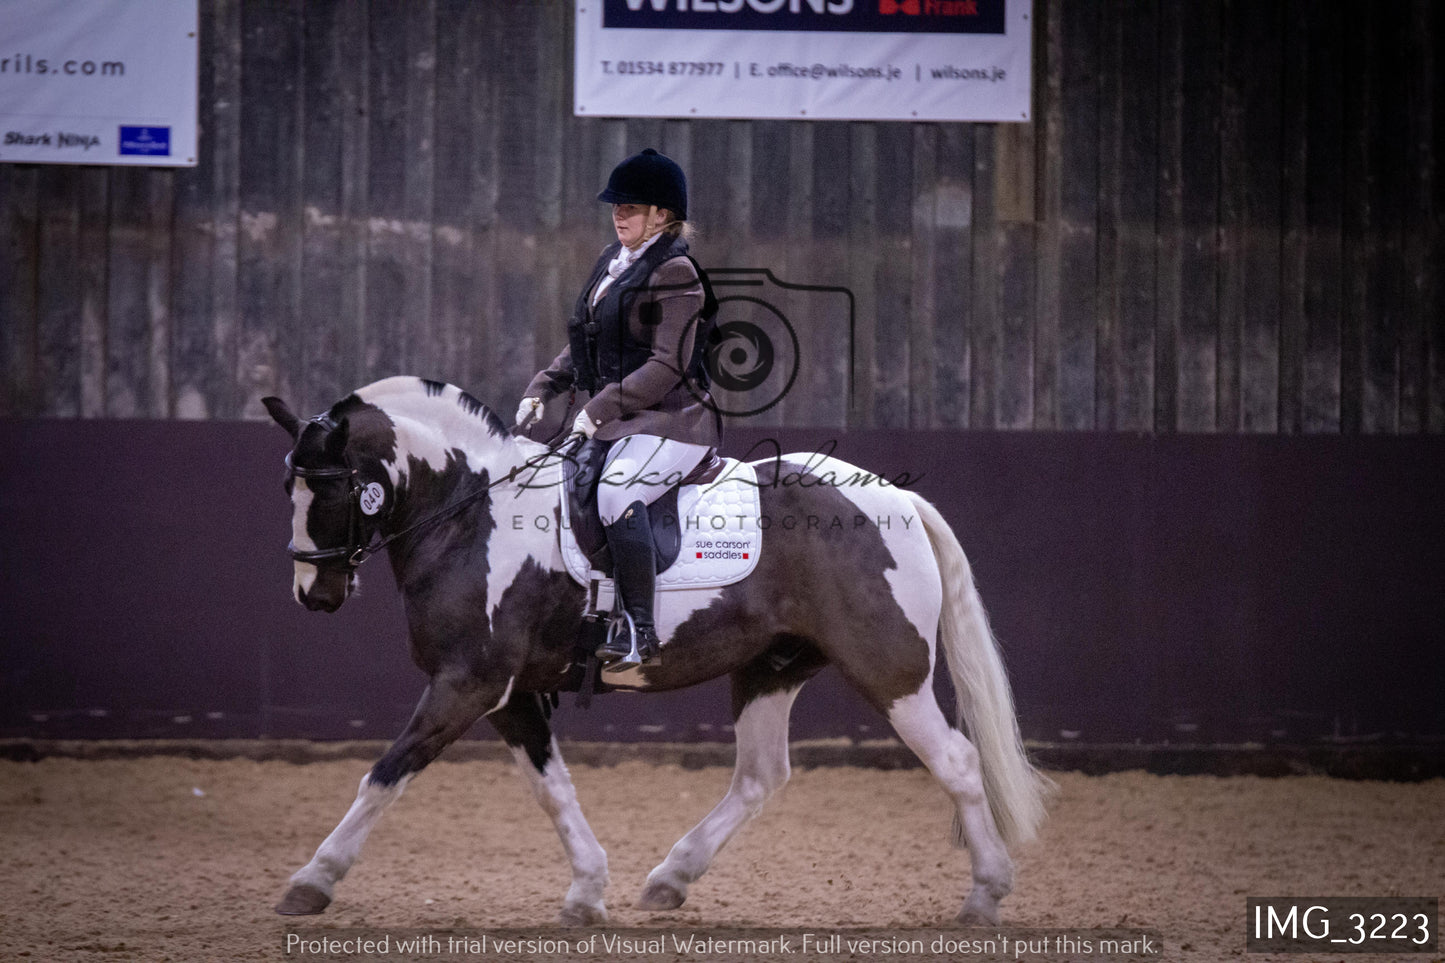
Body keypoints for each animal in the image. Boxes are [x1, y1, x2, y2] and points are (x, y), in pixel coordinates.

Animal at [260, 375, 1051, 925]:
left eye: (329, 485)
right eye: (287, 482)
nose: (311, 592)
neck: (472, 513)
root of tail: (895, 499)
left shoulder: (467, 681)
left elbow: (385, 773)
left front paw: (311, 881)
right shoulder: (506, 692)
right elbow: (552, 788)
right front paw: (586, 890)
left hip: (888, 671)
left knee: (956, 762)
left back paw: (985, 895)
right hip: (771, 666)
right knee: (760, 775)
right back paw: (670, 878)